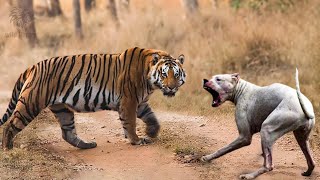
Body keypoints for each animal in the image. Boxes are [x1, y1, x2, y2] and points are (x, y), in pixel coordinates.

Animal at [0, 47, 185, 150]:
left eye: (176, 74)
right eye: (164, 74)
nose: (171, 87)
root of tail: (33, 66)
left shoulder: (140, 103)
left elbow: (152, 118)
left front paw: (152, 132)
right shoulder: (129, 101)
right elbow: (130, 123)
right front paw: (136, 140)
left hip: (61, 108)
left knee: (68, 133)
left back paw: (87, 145)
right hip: (30, 104)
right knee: (10, 125)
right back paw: (8, 149)